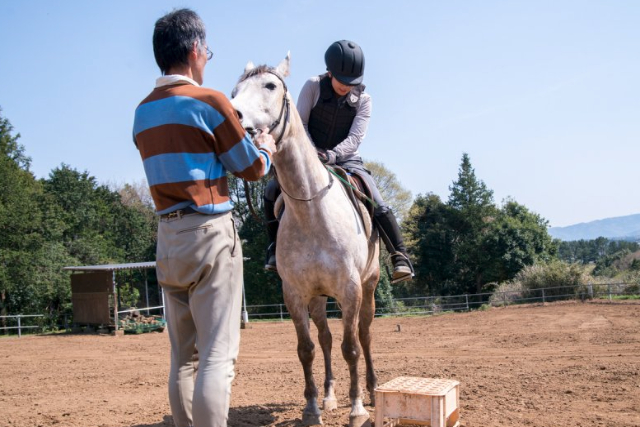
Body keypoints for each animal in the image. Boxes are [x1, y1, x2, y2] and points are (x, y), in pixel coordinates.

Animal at [231, 54, 381, 427]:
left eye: (270, 86)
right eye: (235, 91)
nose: (232, 114)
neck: (312, 210)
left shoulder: (351, 290)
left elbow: (351, 347)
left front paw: (357, 408)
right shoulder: (296, 295)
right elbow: (307, 349)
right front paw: (312, 407)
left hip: (369, 285)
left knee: (365, 335)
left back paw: (372, 390)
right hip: (318, 298)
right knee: (325, 339)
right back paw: (328, 397)